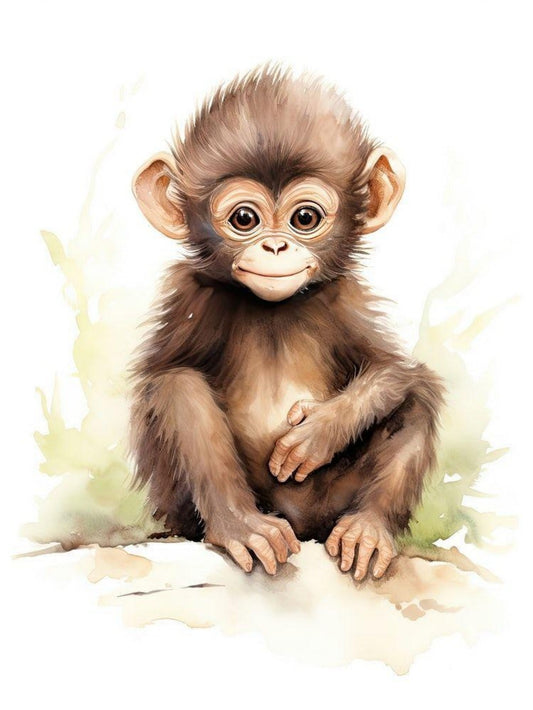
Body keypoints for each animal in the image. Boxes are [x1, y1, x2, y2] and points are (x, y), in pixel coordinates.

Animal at [129, 67, 445, 581]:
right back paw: (242, 523)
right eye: (244, 218)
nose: (275, 247)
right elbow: (168, 379)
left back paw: (367, 528)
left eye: (304, 218)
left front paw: (318, 431)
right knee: (182, 387)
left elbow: (394, 370)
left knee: (416, 398)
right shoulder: (190, 298)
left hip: (327, 507)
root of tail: (300, 523)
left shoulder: (344, 297)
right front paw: (240, 526)